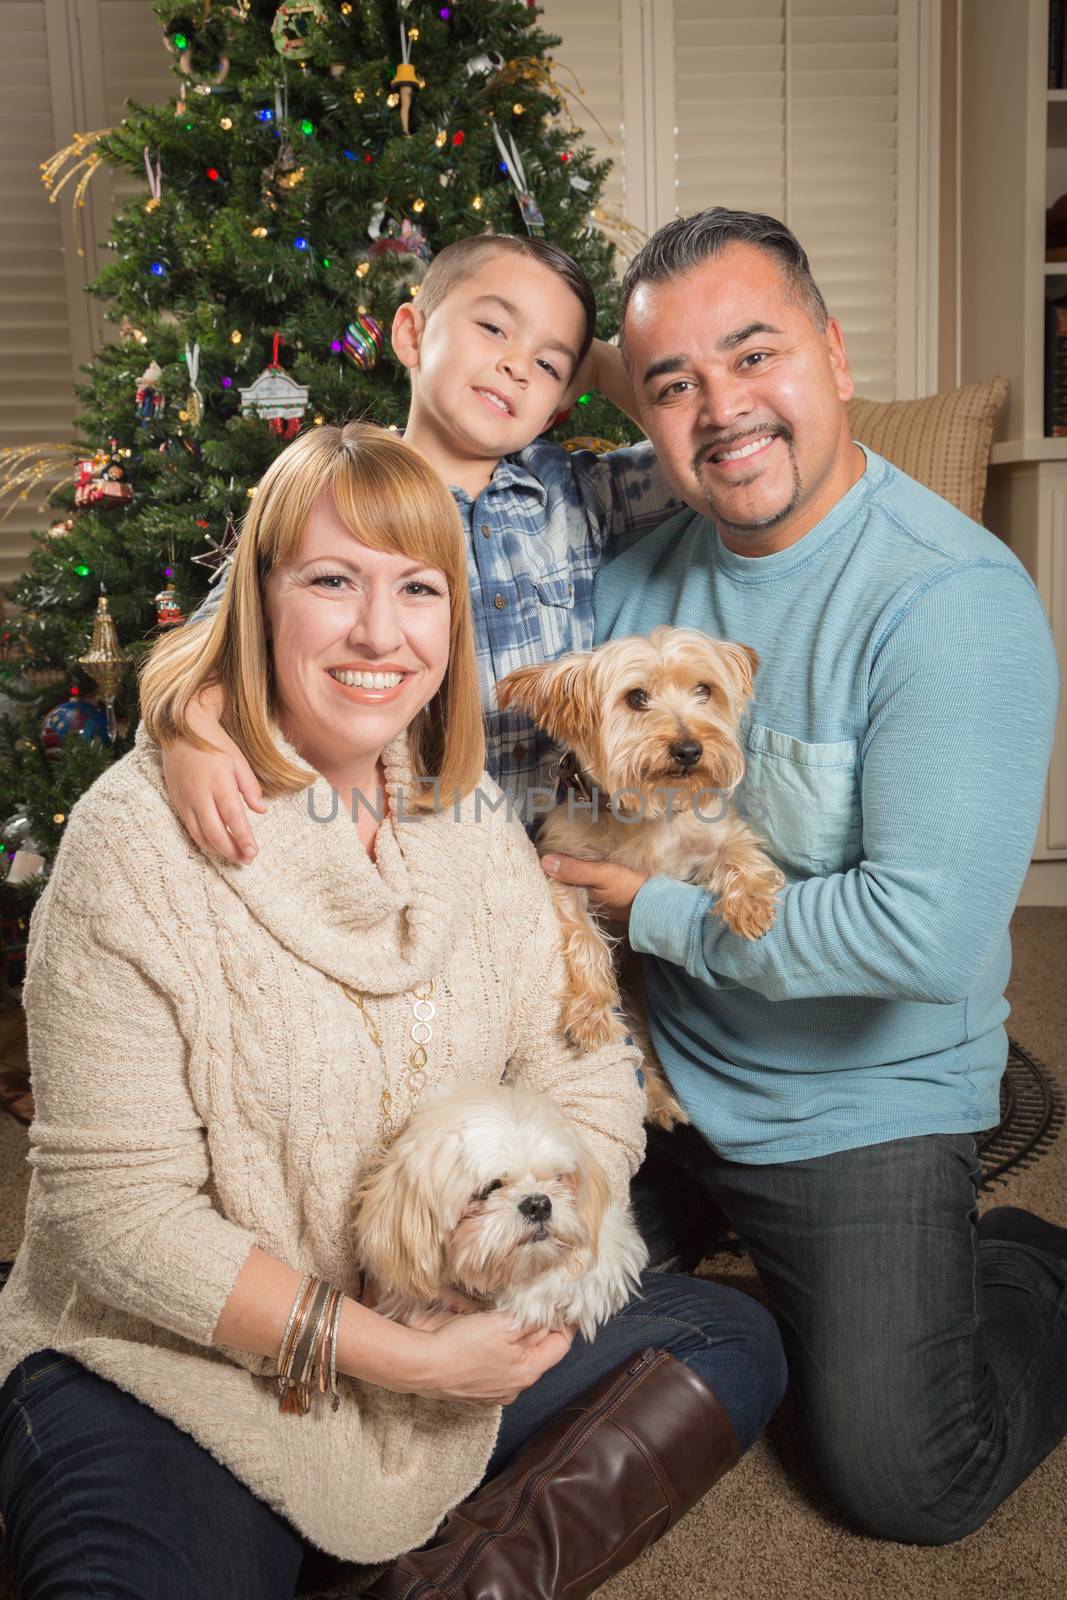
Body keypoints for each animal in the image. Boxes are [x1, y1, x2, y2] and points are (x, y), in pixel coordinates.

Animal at [499, 624, 783, 1126]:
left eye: (704, 690)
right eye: (636, 698)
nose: (690, 749)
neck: (651, 809)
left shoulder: (718, 833)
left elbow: (740, 854)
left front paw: (750, 904)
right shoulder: (560, 869)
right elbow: (584, 939)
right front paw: (591, 1013)